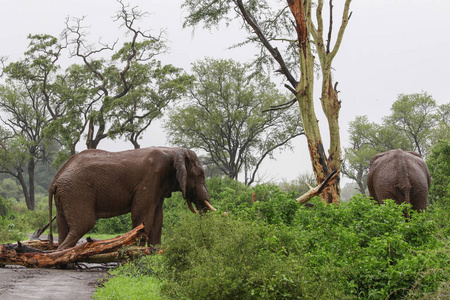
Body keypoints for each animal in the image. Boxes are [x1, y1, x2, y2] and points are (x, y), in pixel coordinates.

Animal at [49, 146, 216, 250]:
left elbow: (158, 218)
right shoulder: (150, 178)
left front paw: (155, 252)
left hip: (66, 196)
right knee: (83, 225)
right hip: (76, 192)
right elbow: (143, 216)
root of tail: (55, 179)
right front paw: (139, 252)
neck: (174, 150)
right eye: (200, 175)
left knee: (63, 227)